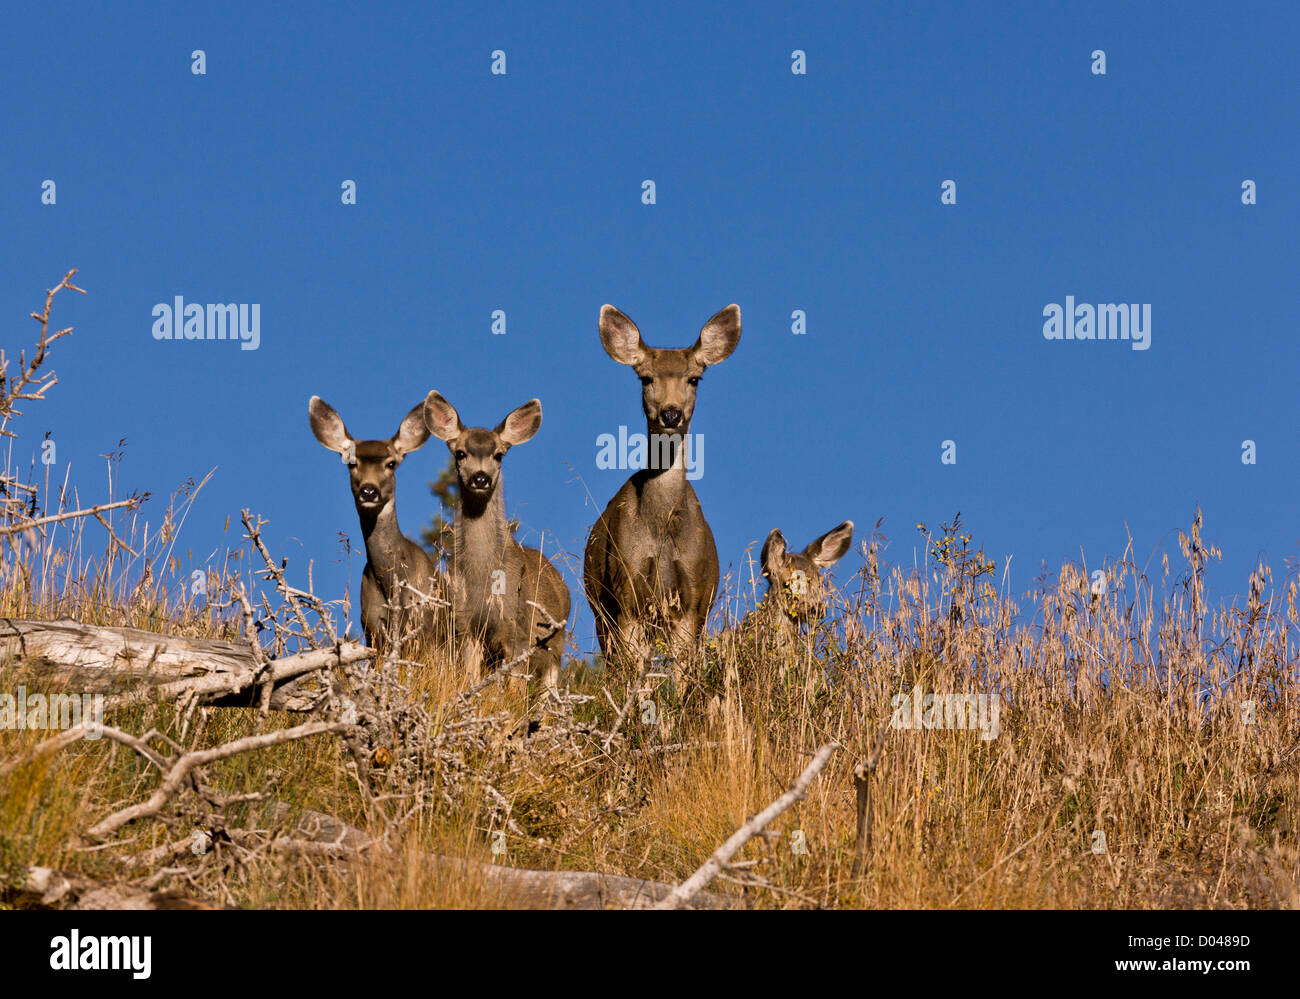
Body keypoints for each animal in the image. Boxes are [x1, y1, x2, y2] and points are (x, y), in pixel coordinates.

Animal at [422, 391, 570, 695]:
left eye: (499, 454)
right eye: (460, 453)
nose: (481, 477)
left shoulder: (520, 632)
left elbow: (515, 692)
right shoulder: (467, 626)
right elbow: (471, 679)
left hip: (555, 645)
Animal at [583, 304, 741, 671]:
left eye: (694, 378)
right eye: (646, 378)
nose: (671, 414)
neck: (660, 525)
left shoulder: (692, 600)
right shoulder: (626, 593)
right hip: (600, 613)